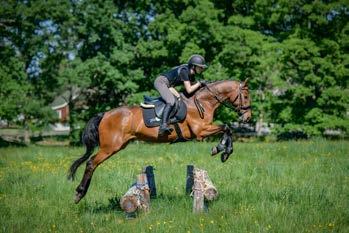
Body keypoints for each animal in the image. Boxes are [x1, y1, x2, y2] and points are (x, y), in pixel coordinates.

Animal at [68, 79, 250, 203]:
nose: (248, 117)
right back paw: (79, 193)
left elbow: (227, 128)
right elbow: (227, 127)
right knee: (91, 163)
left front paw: (222, 150)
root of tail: (104, 114)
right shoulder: (201, 131)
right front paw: (222, 150)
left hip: (117, 146)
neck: (203, 101)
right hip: (110, 147)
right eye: (247, 96)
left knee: (91, 163)